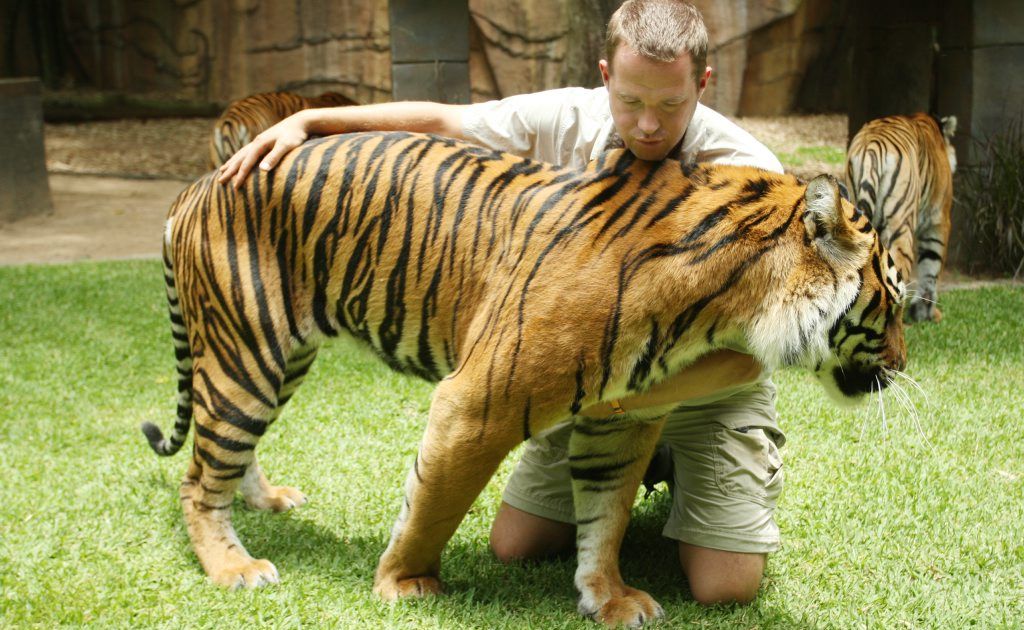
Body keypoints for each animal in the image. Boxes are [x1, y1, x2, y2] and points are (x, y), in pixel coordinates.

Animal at [142, 130, 905, 626]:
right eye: (894, 302)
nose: (901, 366)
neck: (728, 301)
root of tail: (200, 183)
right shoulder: (476, 405)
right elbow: (435, 504)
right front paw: (403, 582)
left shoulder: (621, 422)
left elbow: (605, 517)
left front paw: (609, 597)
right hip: (245, 354)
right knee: (198, 478)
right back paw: (234, 568)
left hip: (276, 360)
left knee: (226, 453)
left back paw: (266, 503)